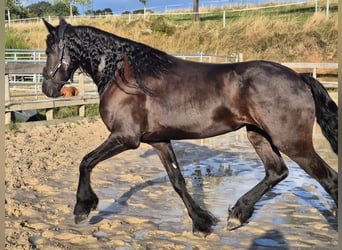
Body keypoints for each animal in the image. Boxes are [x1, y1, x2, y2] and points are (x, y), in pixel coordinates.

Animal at [42, 18, 336, 234]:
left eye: (48, 50)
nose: (47, 88)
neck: (126, 77)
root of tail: (299, 77)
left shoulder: (125, 138)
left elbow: (86, 161)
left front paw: (82, 208)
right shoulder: (158, 141)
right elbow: (178, 181)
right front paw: (202, 222)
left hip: (292, 142)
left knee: (329, 179)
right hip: (259, 135)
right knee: (277, 172)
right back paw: (237, 215)